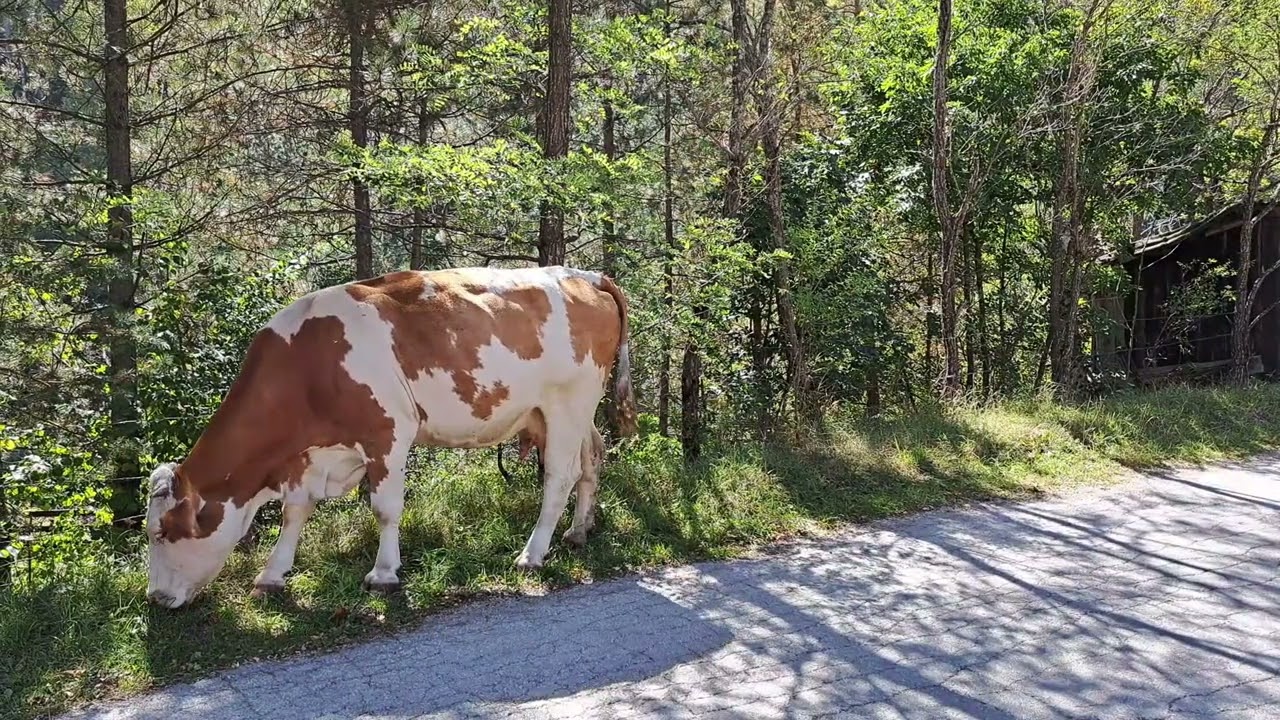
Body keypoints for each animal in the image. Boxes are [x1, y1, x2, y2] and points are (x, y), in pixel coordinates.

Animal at [144, 266, 637, 608]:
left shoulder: (387, 432)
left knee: (558, 476)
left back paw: (533, 553)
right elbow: (294, 512)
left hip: (566, 403)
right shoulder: (308, 455)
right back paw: (578, 531)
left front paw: (383, 574)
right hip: (573, 411)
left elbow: (384, 508)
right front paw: (271, 577)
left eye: (163, 532)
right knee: (593, 458)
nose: (155, 599)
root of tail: (585, 275)